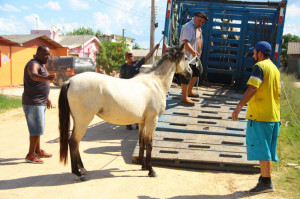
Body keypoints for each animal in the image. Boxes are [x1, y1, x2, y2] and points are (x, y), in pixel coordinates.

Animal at [58, 44, 192, 181]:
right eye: (186, 58)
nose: (190, 73)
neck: (155, 82)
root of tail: (70, 81)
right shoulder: (152, 120)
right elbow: (149, 144)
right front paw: (151, 170)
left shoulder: (142, 121)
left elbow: (142, 141)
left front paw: (143, 166)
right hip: (83, 121)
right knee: (73, 142)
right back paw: (78, 173)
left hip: (78, 121)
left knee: (76, 143)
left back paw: (83, 169)